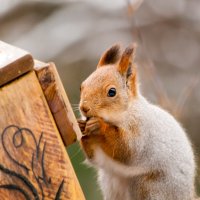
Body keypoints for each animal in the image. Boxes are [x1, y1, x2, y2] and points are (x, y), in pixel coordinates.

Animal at [77, 43, 198, 200]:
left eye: (112, 92)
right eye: (82, 86)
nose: (84, 108)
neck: (122, 113)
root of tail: (186, 194)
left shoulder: (141, 130)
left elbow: (125, 149)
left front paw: (99, 126)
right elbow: (95, 158)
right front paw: (81, 126)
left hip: (150, 187)